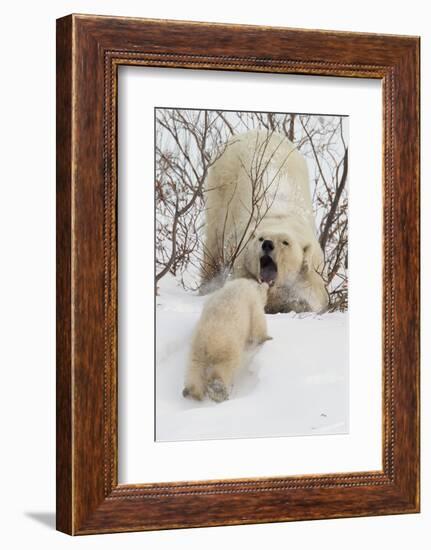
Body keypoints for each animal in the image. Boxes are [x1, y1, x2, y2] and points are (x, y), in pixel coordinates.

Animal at [202, 129, 328, 314]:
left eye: (285, 242)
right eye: (260, 238)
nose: (267, 244)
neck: (280, 218)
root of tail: (251, 132)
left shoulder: (312, 271)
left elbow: (311, 296)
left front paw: (294, 304)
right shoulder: (242, 259)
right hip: (221, 185)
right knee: (214, 241)